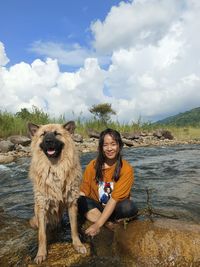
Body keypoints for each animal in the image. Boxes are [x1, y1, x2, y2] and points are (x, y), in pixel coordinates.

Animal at [27, 122, 86, 264]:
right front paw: (41, 254)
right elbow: (42, 235)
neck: (54, 168)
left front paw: (78, 245)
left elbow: (74, 228)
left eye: (56, 133)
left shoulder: (71, 203)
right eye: (43, 134)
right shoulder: (42, 206)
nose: (48, 141)